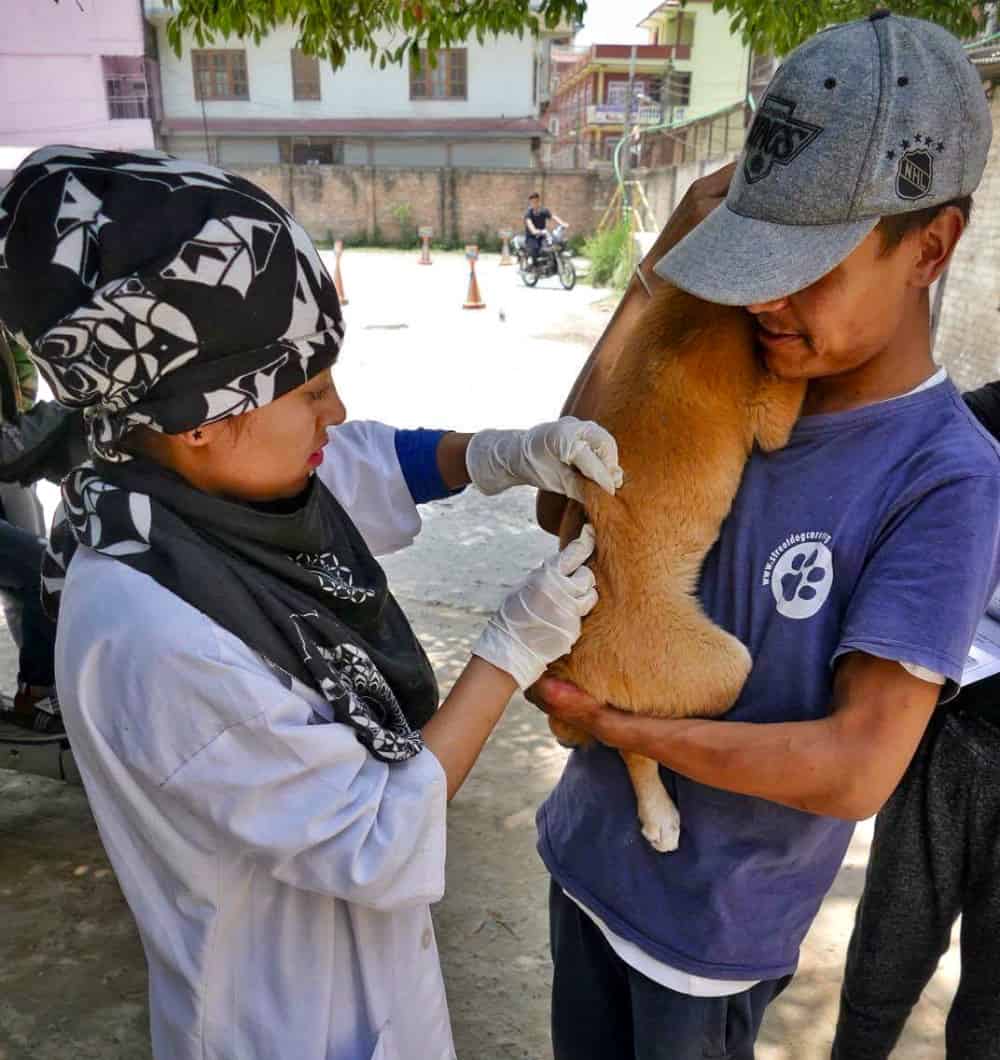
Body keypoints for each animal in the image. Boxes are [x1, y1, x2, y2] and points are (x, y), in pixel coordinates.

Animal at [547, 286, 805, 856]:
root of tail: (570, 657)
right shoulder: (770, 414)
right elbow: (792, 386)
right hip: (723, 665)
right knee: (635, 740)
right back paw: (659, 815)